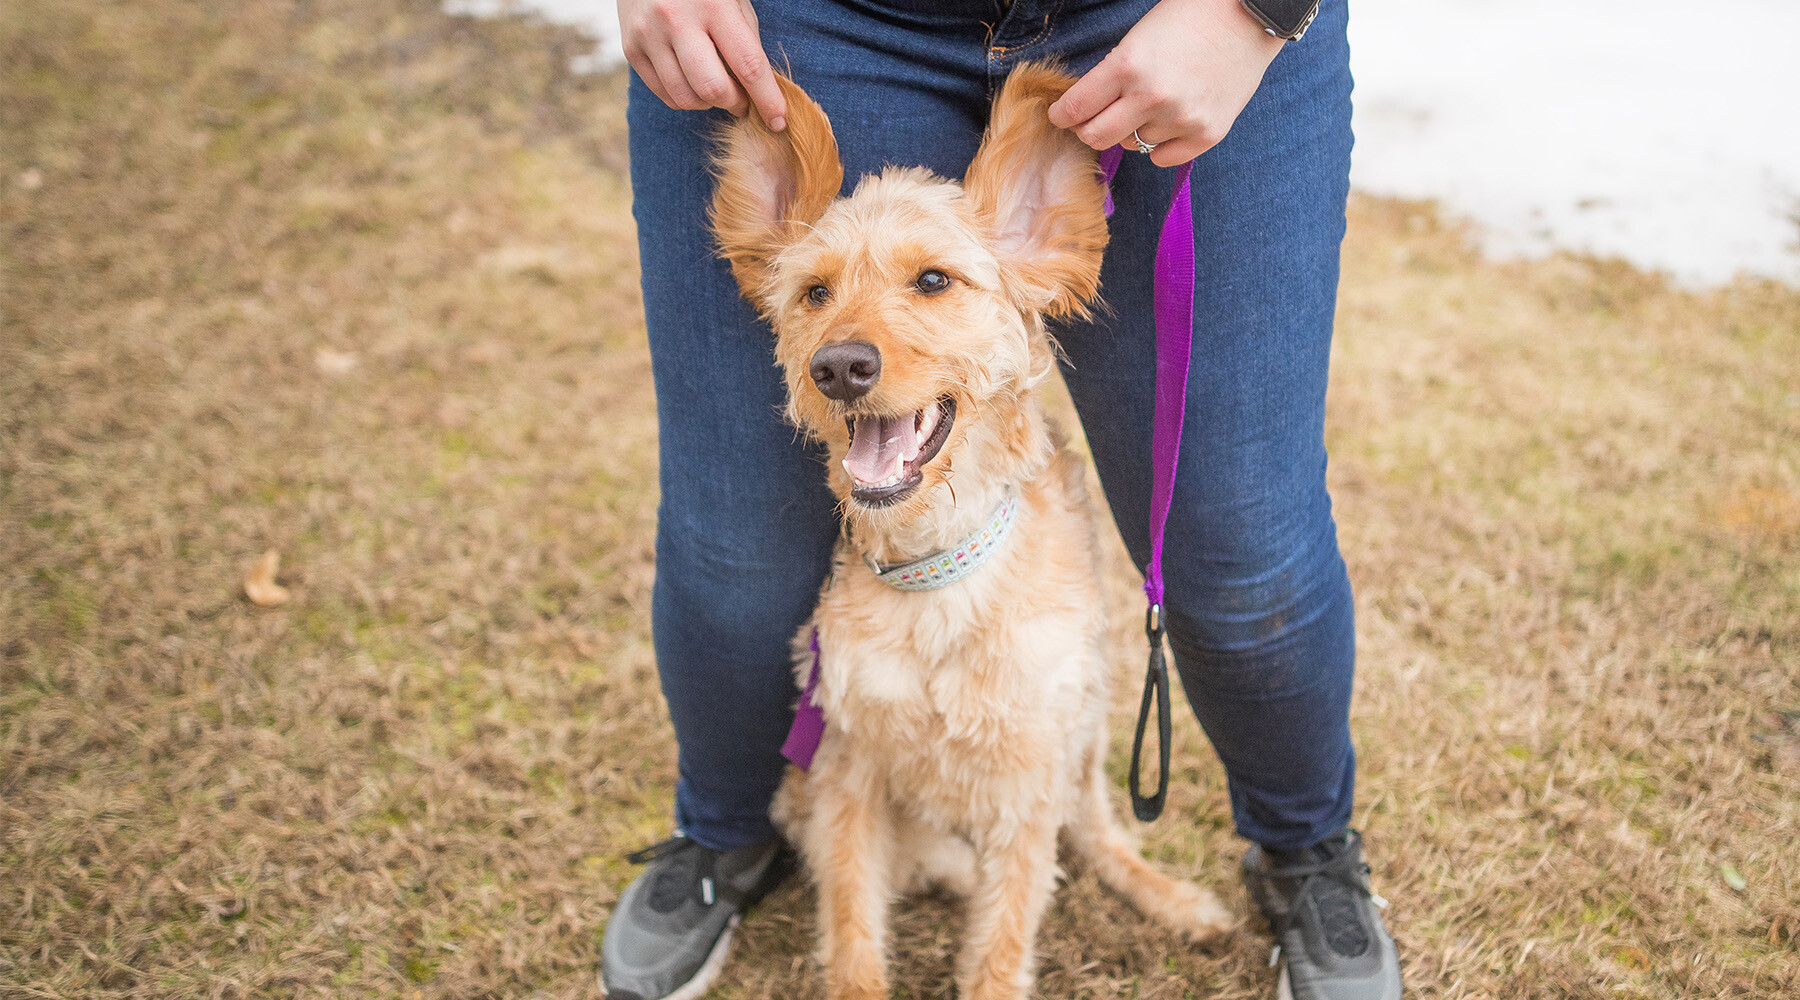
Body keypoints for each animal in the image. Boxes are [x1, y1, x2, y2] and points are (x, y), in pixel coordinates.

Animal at [702, 62, 1238, 1000]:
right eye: (814, 292)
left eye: (933, 282)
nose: (838, 367)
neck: (937, 577)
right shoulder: (845, 767)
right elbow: (853, 930)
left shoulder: (1027, 781)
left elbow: (1001, 944)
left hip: (1090, 729)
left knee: (1094, 833)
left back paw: (1171, 898)